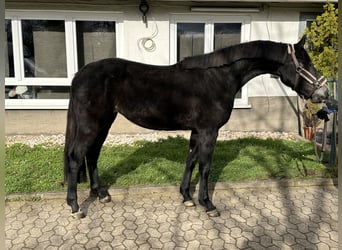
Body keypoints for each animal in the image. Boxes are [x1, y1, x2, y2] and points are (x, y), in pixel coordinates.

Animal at [63, 36, 328, 218]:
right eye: (304, 65)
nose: (323, 93)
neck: (218, 77)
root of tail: (80, 74)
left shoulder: (197, 131)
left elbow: (190, 160)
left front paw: (186, 197)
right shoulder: (209, 131)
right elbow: (205, 166)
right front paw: (208, 204)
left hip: (104, 122)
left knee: (92, 155)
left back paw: (101, 195)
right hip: (91, 124)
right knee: (76, 157)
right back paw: (75, 207)